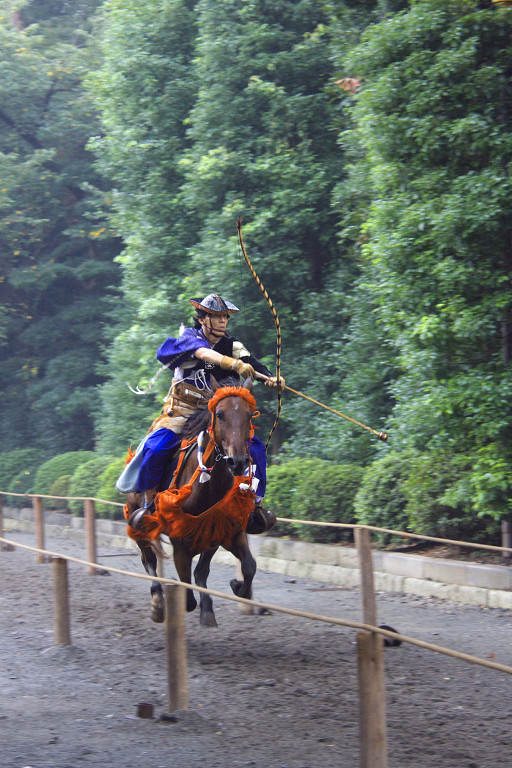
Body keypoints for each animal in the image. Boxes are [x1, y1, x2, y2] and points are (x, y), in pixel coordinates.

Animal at [124, 376, 260, 628]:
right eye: (220, 414)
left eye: (249, 415)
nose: (237, 461)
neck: (208, 486)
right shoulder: (179, 540)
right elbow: (186, 582)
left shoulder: (222, 530)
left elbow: (244, 567)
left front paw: (232, 591)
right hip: (137, 519)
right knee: (148, 559)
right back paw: (158, 604)